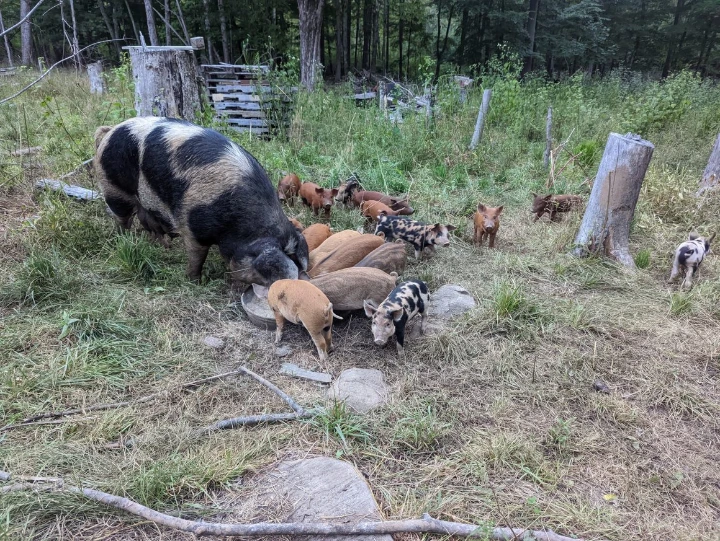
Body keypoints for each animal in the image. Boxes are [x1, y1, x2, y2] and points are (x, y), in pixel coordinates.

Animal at [93, 117, 308, 285]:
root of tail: (110, 131)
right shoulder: (191, 223)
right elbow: (197, 255)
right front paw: (194, 280)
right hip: (113, 187)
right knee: (122, 218)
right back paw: (123, 239)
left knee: (147, 219)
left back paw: (163, 245)